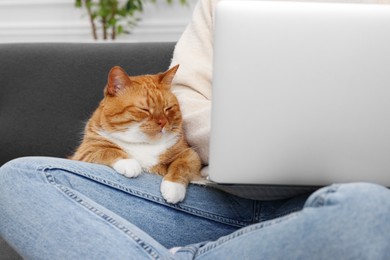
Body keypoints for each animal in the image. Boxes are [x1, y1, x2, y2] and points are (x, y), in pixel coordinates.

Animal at [69, 64, 201, 203]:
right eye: (144, 109)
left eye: (168, 108)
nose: (163, 122)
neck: (143, 143)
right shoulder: (84, 153)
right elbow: (107, 150)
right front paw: (129, 163)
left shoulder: (190, 154)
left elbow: (181, 166)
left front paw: (173, 188)